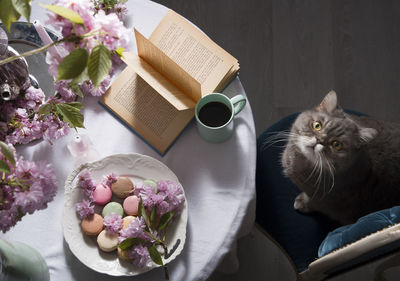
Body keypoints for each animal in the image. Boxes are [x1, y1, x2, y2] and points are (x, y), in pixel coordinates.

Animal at [282, 91, 400, 224]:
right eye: (317, 125)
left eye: (336, 144)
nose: (319, 140)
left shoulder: (325, 202)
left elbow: (314, 203)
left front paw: (302, 202)